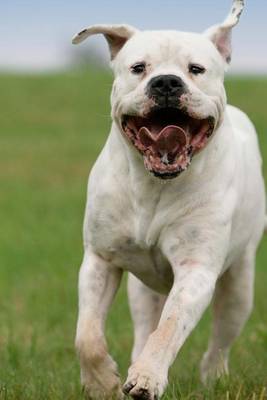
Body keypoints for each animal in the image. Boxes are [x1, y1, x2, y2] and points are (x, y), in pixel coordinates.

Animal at [72, 1, 266, 398]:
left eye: (196, 69)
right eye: (138, 68)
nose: (165, 82)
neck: (154, 186)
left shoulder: (196, 269)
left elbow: (171, 325)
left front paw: (147, 377)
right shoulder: (100, 259)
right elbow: (87, 334)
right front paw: (101, 382)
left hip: (240, 285)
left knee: (220, 338)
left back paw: (213, 376)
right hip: (142, 290)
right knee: (144, 323)